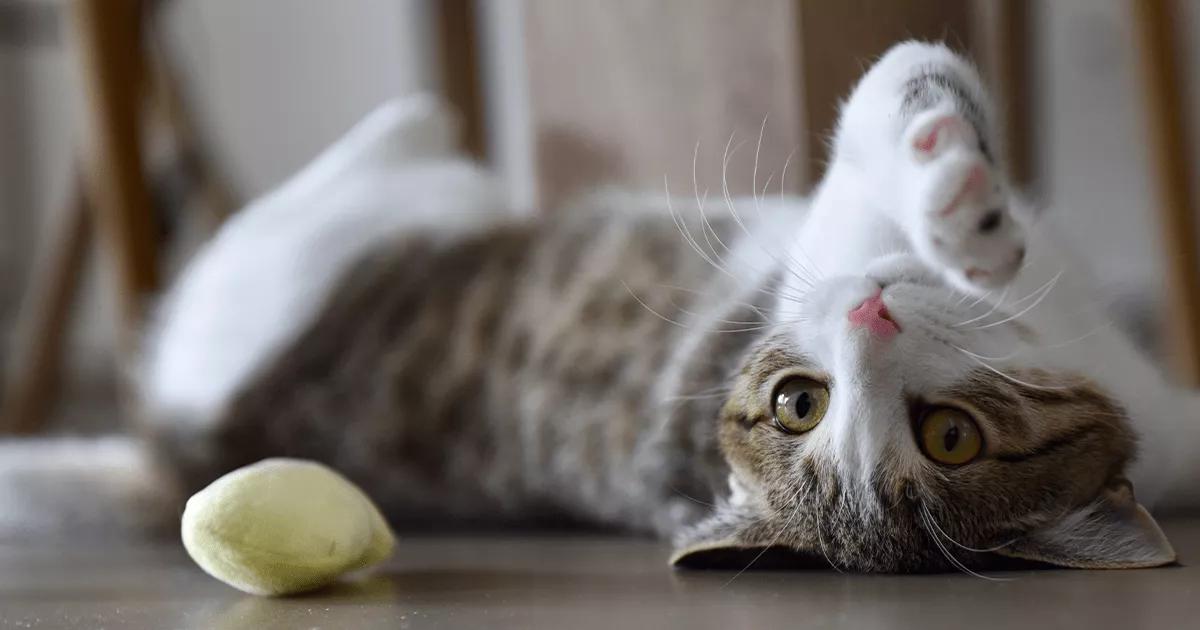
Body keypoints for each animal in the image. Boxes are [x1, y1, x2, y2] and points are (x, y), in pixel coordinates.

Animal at [2, 39, 1200, 568]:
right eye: (800, 403)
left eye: (949, 439)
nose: (872, 319)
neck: (1057, 324)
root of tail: (174, 456)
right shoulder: (840, 229)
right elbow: (905, 83)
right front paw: (954, 197)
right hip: (294, 261)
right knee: (379, 158)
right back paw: (421, 117)